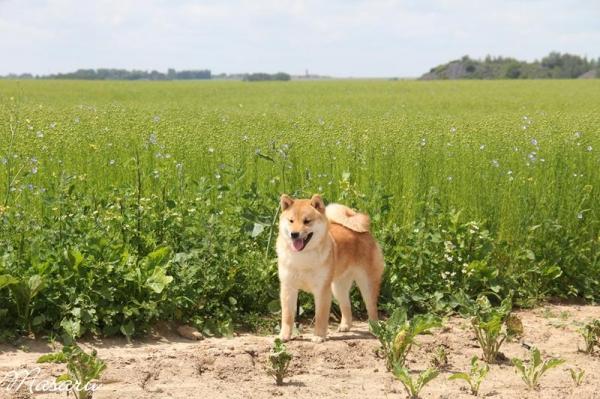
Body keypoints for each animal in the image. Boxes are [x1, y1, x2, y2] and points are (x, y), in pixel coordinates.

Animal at [276, 195, 384, 342]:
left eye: (307, 221)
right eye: (291, 221)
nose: (294, 234)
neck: (302, 257)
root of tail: (364, 232)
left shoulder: (322, 290)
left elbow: (321, 316)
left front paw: (319, 336)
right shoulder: (288, 287)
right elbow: (287, 316)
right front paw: (284, 335)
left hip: (366, 284)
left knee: (371, 307)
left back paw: (374, 328)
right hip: (338, 287)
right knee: (346, 305)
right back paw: (345, 326)